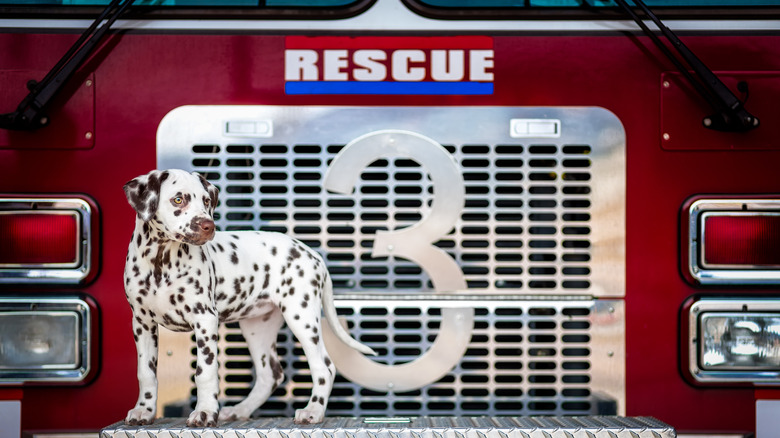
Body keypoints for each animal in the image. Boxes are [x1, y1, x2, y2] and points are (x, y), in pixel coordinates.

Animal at [123, 169, 376, 428]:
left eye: (206, 201)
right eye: (178, 200)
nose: (208, 226)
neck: (160, 262)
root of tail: (313, 254)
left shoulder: (204, 319)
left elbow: (205, 372)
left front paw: (204, 412)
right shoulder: (142, 323)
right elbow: (146, 372)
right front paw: (144, 410)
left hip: (301, 316)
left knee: (324, 367)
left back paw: (313, 411)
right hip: (257, 328)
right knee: (270, 376)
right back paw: (239, 410)